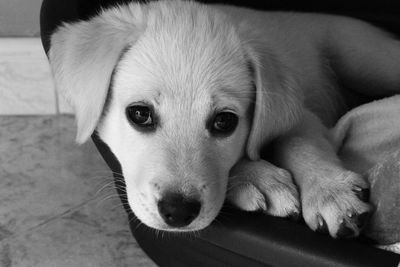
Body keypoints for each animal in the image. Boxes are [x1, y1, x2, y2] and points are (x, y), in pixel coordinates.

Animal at [48, 0, 400, 239]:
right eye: (139, 114)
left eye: (224, 122)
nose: (178, 212)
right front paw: (261, 178)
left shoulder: (300, 115)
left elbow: (302, 144)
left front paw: (330, 191)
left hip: (364, 58)